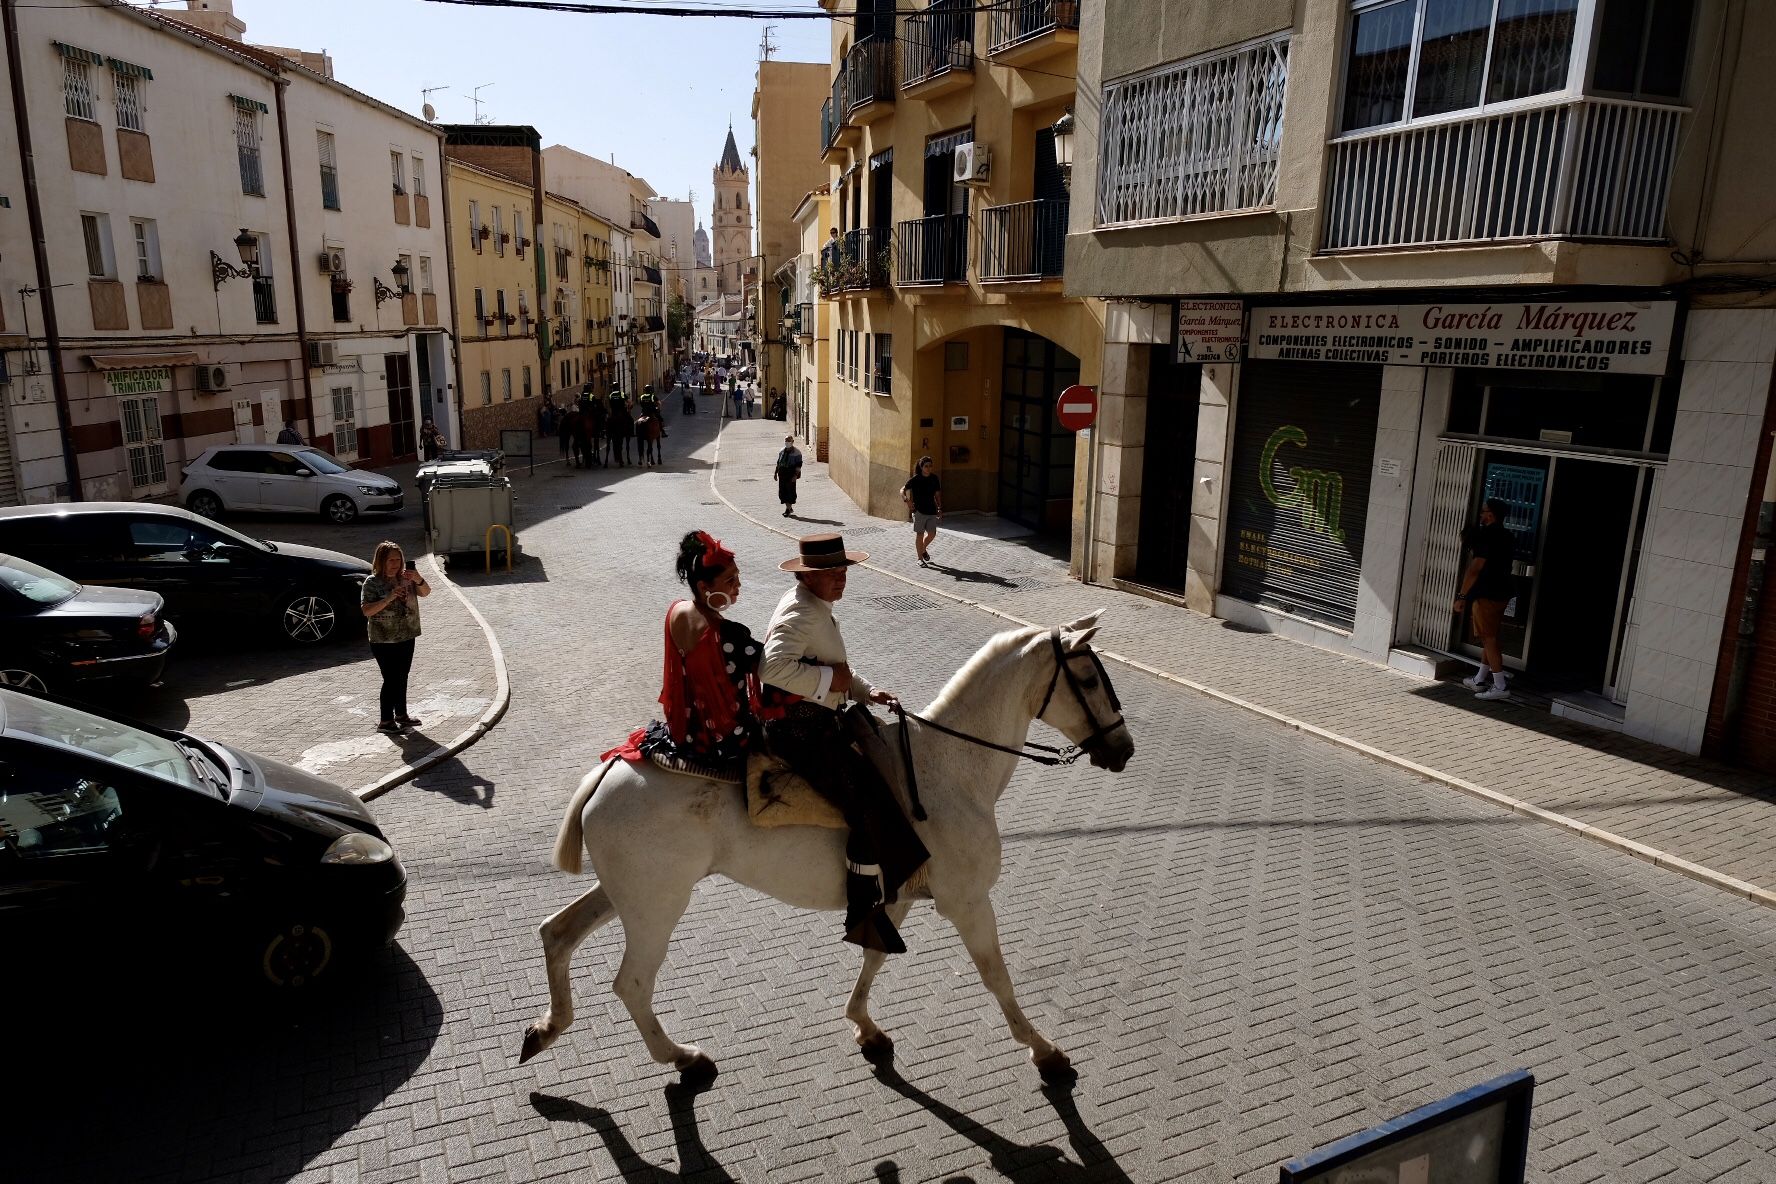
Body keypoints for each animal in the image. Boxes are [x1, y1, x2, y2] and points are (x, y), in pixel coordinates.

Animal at [518, 617, 1136, 1086]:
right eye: (1088, 676)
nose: (1124, 749)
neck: (949, 771)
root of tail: (612, 767)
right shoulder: (967, 902)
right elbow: (996, 976)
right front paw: (1043, 1050)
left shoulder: (895, 895)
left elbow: (874, 958)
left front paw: (863, 1024)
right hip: (656, 906)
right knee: (632, 984)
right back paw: (682, 1058)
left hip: (624, 892)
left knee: (558, 933)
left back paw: (546, 1028)